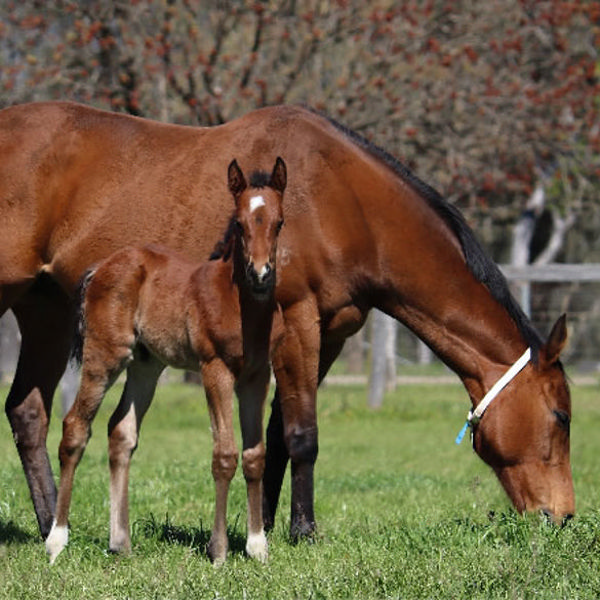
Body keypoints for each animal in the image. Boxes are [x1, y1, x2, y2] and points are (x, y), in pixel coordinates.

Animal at [0, 99, 572, 544]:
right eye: (562, 417)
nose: (563, 517)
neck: (340, 198)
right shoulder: (298, 321)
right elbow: (302, 433)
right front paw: (303, 531)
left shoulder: (329, 334)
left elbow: (275, 432)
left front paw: (266, 526)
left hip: (47, 311)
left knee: (27, 411)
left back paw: (52, 525)